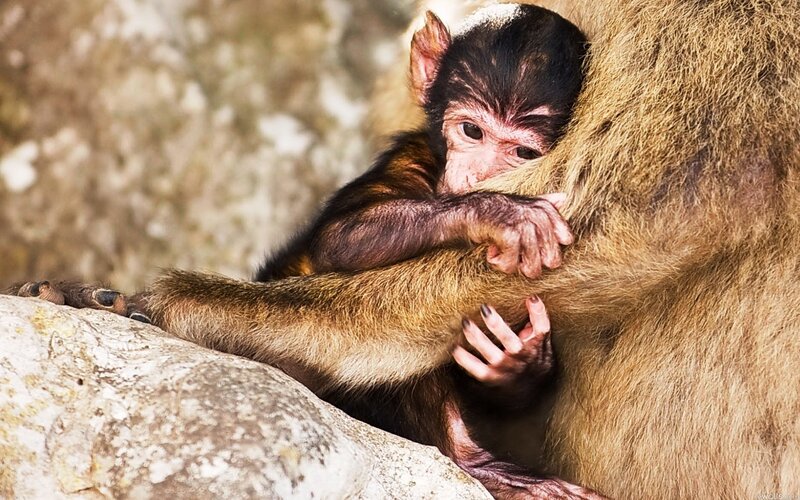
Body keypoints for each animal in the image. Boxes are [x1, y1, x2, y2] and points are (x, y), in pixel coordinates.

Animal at [10, 0, 800, 498]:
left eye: (520, 145)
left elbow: (658, 203)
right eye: (471, 131)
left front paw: (216, 315)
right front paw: (496, 214)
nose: (480, 174)